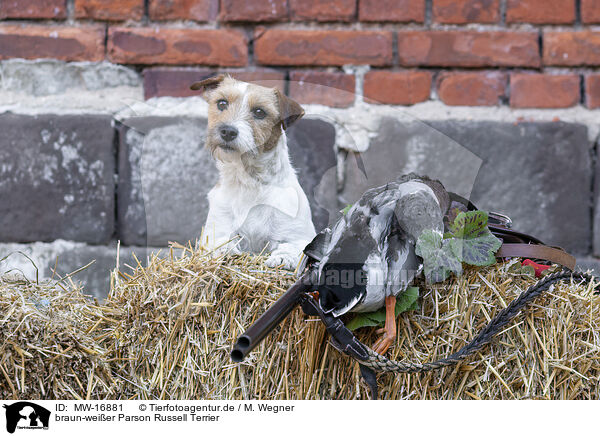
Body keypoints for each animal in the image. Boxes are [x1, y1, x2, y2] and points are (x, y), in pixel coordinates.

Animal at [192, 76, 316, 270]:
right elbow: (220, 243)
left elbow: (292, 247)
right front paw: (225, 250)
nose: (227, 131)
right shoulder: (214, 233)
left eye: (259, 112)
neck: (249, 181)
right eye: (221, 103)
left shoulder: (301, 237)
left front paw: (283, 257)